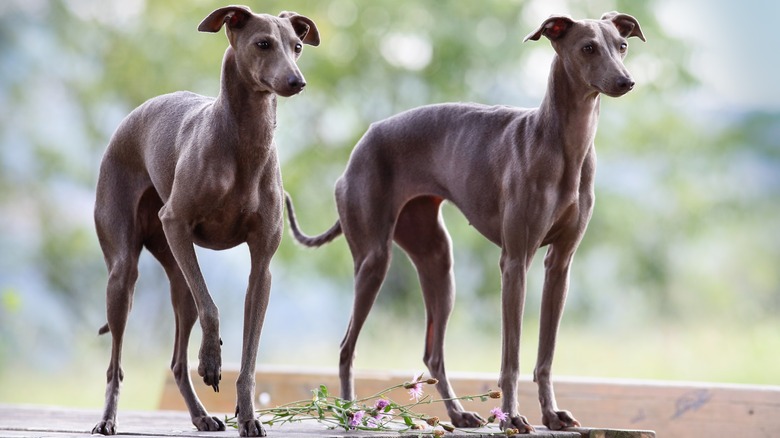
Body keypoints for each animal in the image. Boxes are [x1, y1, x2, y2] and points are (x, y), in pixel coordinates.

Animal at [92, 6, 320, 434]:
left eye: (297, 46)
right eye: (262, 43)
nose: (297, 82)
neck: (243, 143)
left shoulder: (261, 269)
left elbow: (250, 356)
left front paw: (248, 417)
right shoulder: (174, 221)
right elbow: (212, 309)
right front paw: (212, 361)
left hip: (178, 279)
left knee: (177, 359)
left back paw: (200, 415)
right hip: (124, 274)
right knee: (117, 364)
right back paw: (107, 420)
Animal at [286, 12, 644, 432]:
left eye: (622, 45)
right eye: (587, 47)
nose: (626, 81)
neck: (562, 145)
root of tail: (360, 145)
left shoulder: (560, 265)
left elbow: (546, 354)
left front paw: (551, 415)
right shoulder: (514, 263)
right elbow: (511, 356)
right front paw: (512, 417)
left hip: (439, 263)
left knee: (432, 353)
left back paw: (458, 413)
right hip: (374, 259)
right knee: (347, 347)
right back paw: (349, 414)